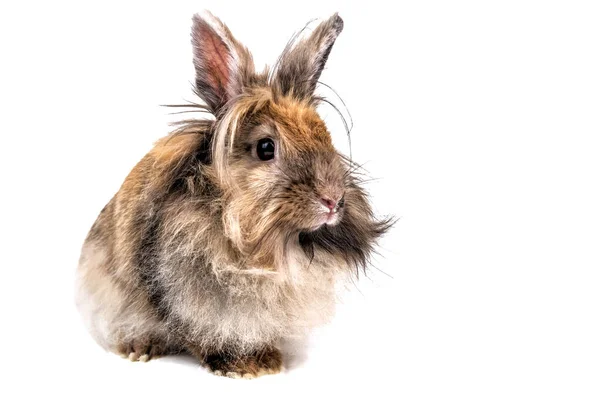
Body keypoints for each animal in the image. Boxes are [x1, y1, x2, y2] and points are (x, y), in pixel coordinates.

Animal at [75, 10, 392, 378]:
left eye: (326, 138)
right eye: (266, 148)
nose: (332, 201)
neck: (267, 245)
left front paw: (267, 359)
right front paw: (241, 366)